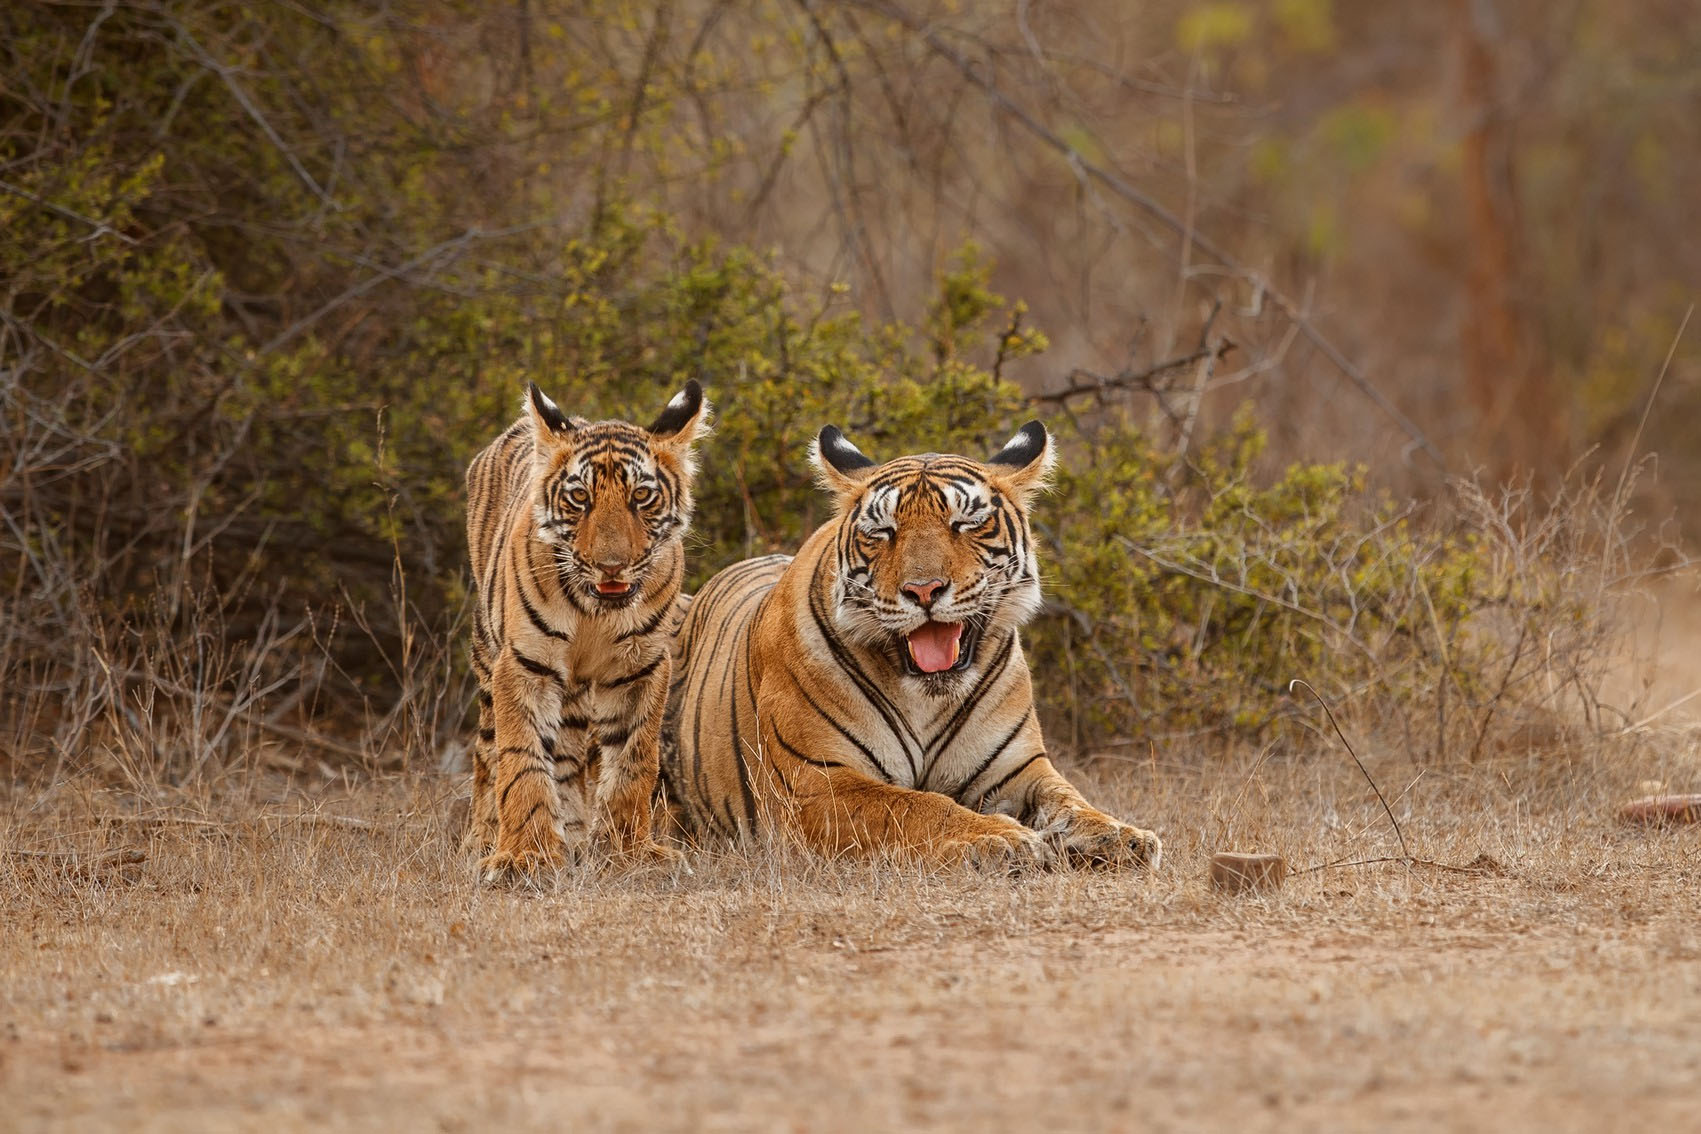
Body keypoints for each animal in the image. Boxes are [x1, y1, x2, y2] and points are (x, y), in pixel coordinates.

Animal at [462, 377, 707, 884]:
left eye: (641, 497)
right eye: (580, 499)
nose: (610, 565)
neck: (595, 613)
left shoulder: (641, 668)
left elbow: (633, 762)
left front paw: (628, 852)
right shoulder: (525, 665)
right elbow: (522, 760)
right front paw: (526, 857)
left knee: (568, 757)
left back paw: (574, 836)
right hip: (487, 657)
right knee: (487, 753)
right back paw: (483, 839)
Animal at [656, 421, 1163, 877]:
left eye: (966, 523)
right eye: (884, 531)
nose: (924, 590)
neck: (927, 697)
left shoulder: (1019, 771)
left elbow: (1071, 803)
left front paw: (1123, 837)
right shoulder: (817, 782)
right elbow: (916, 806)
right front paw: (1001, 838)